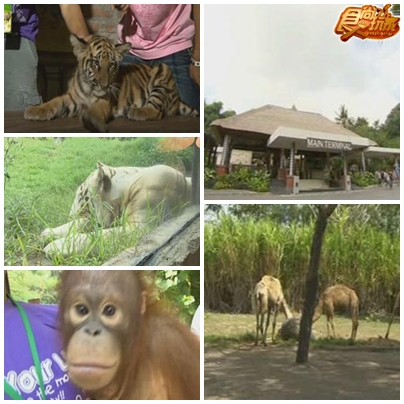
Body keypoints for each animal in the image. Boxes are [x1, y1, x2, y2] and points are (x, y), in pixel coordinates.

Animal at [41, 163, 193, 258]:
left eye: (80, 194)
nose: (70, 213)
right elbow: (81, 224)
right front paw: (47, 234)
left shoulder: (140, 227)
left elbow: (101, 236)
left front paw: (56, 246)